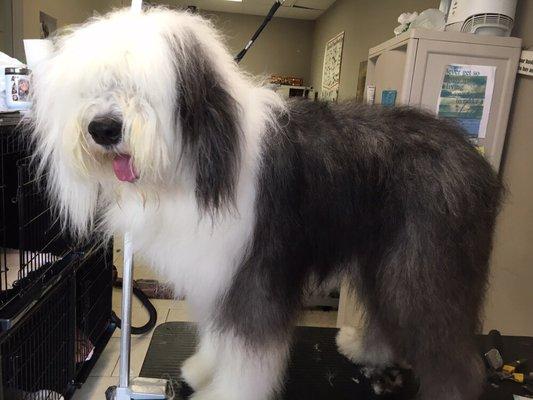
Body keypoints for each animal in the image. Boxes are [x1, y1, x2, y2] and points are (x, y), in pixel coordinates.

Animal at [28, 7, 502, 400]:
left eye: (142, 87)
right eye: (93, 86)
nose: (103, 128)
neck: (197, 157)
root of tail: (469, 151)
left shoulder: (256, 271)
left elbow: (248, 349)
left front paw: (226, 393)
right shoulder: (218, 269)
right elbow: (219, 337)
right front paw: (204, 369)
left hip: (426, 264)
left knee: (449, 350)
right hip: (385, 258)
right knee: (388, 314)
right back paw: (364, 350)